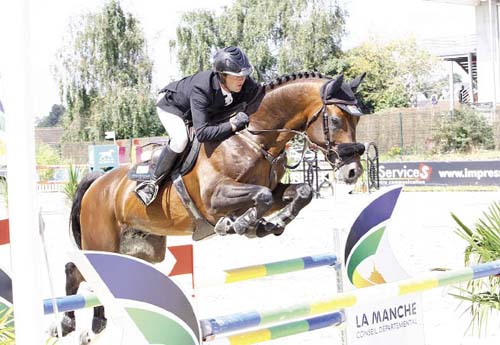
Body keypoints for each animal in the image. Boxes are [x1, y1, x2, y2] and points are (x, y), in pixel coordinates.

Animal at [58, 71, 368, 338]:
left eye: (357, 121)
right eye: (336, 120)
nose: (353, 171)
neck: (254, 138)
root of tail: (98, 181)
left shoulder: (272, 187)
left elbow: (300, 192)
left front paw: (272, 223)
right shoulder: (215, 197)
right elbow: (260, 197)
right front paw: (242, 225)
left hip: (142, 248)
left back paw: (97, 320)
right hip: (102, 242)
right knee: (77, 269)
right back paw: (68, 322)